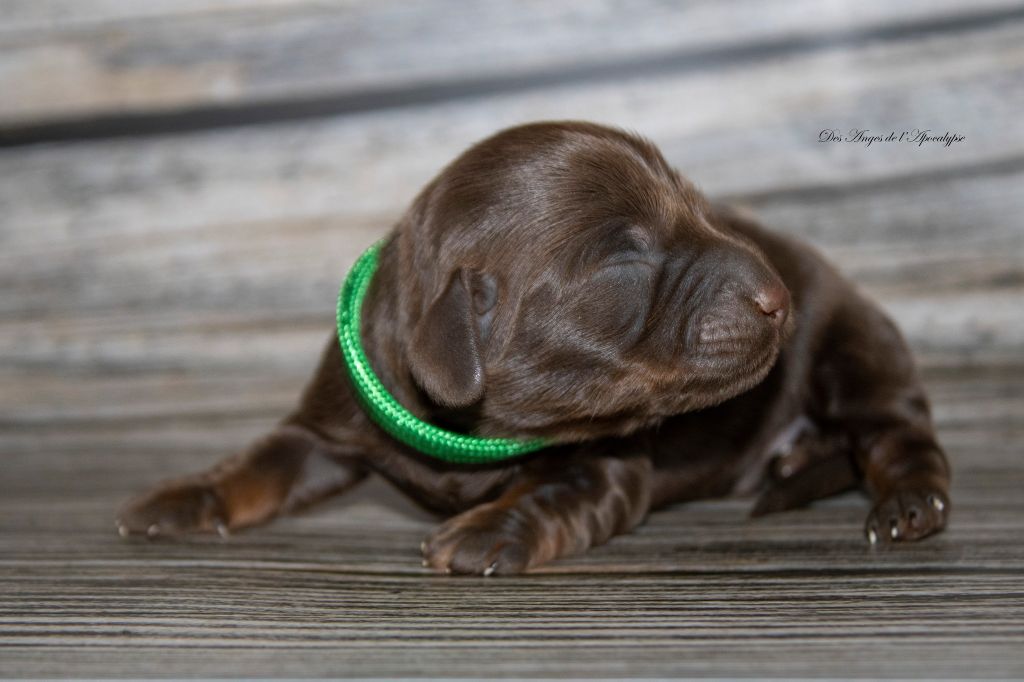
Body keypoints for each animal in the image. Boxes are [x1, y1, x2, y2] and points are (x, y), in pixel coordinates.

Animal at [119, 120, 950, 569]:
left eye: (701, 211)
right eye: (624, 256)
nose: (779, 298)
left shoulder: (609, 465)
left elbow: (553, 488)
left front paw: (491, 529)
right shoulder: (327, 425)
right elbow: (259, 462)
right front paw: (183, 494)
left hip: (858, 354)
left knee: (900, 438)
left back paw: (910, 505)